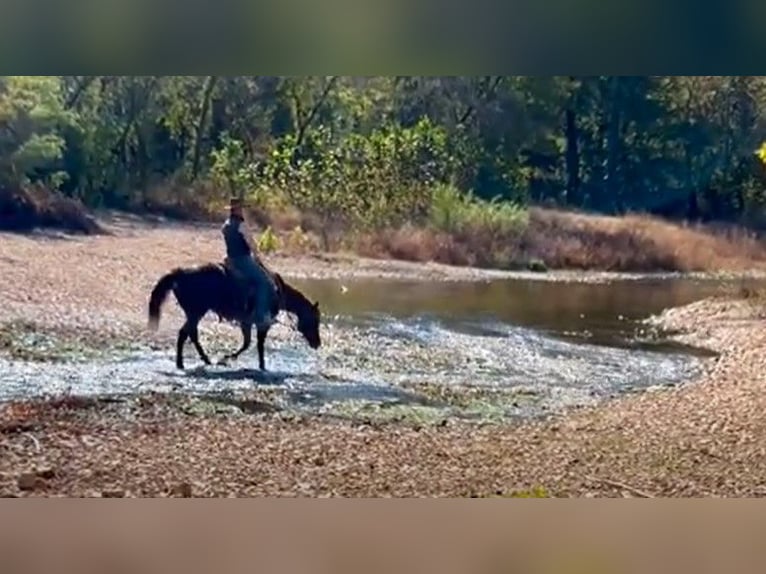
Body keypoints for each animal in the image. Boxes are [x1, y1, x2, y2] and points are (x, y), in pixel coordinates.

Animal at [146, 264, 320, 372]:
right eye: (315, 320)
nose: (317, 344)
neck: (278, 293)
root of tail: (179, 274)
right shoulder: (262, 324)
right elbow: (257, 345)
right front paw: (258, 365)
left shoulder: (247, 323)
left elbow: (247, 343)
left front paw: (227, 358)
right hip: (196, 312)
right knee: (185, 334)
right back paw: (183, 363)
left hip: (194, 313)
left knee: (191, 334)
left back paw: (204, 360)